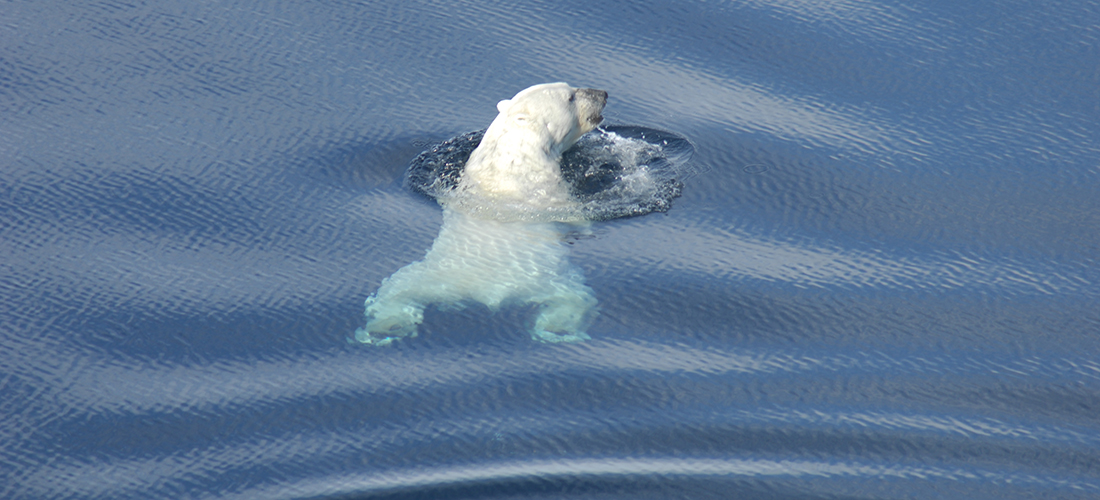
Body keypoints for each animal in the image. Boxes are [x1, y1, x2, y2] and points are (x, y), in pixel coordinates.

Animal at [356, 84, 607, 347]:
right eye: (570, 96)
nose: (602, 94)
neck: (512, 156)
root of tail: (482, 289)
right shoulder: (549, 191)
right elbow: (575, 215)